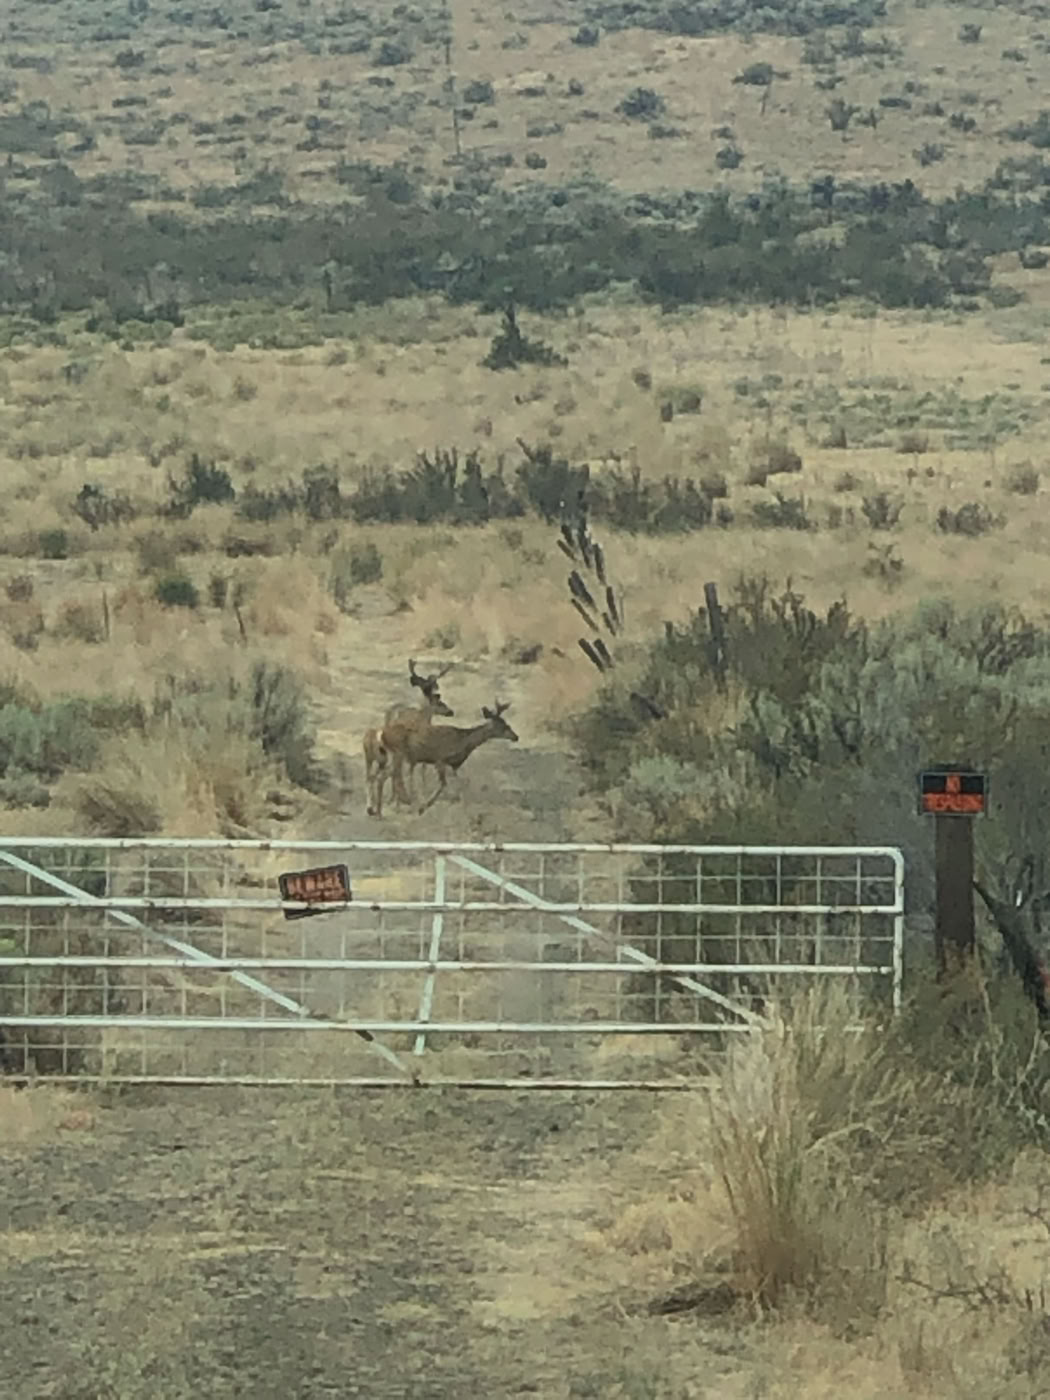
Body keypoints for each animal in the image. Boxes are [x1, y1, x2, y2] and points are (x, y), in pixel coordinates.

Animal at [364, 660, 453, 817]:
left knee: (373, 776)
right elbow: (419, 771)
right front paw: (419, 798)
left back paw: (377, 806)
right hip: (394, 756)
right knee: (387, 775)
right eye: (440, 702)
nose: (451, 711)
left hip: (379, 757)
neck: (423, 717)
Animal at [372, 702, 519, 817]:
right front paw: (423, 807)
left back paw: (380, 810)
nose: (516, 737)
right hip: (399, 754)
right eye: (503, 726)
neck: (463, 742)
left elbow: (462, 784)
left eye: (507, 724)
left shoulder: (453, 765)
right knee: (384, 776)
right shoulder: (440, 759)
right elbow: (443, 784)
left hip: (396, 757)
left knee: (382, 776)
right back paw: (382, 810)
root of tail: (383, 734)